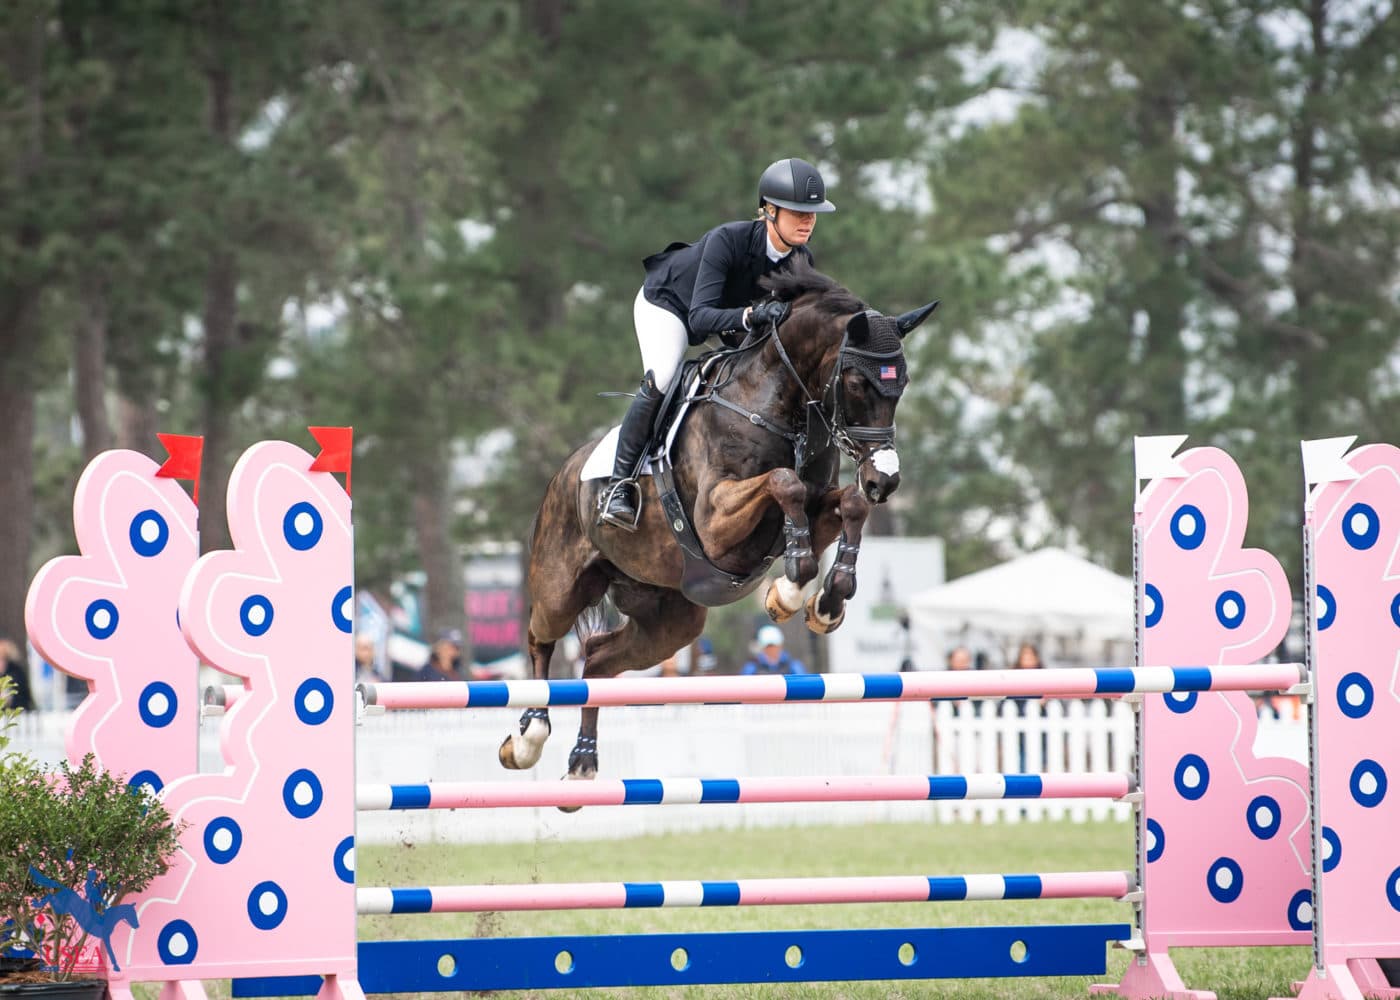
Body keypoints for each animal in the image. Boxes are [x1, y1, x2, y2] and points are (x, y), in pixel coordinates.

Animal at [501, 259, 937, 790]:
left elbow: (847, 504)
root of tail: (561, 475)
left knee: (600, 657)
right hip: (561, 586)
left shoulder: (820, 505)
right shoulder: (715, 522)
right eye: (856, 383)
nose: (884, 480)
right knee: (540, 639)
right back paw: (528, 737)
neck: (777, 405)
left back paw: (583, 764)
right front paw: (792, 584)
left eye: (903, 384)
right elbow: (784, 482)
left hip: (672, 620)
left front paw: (823, 601)